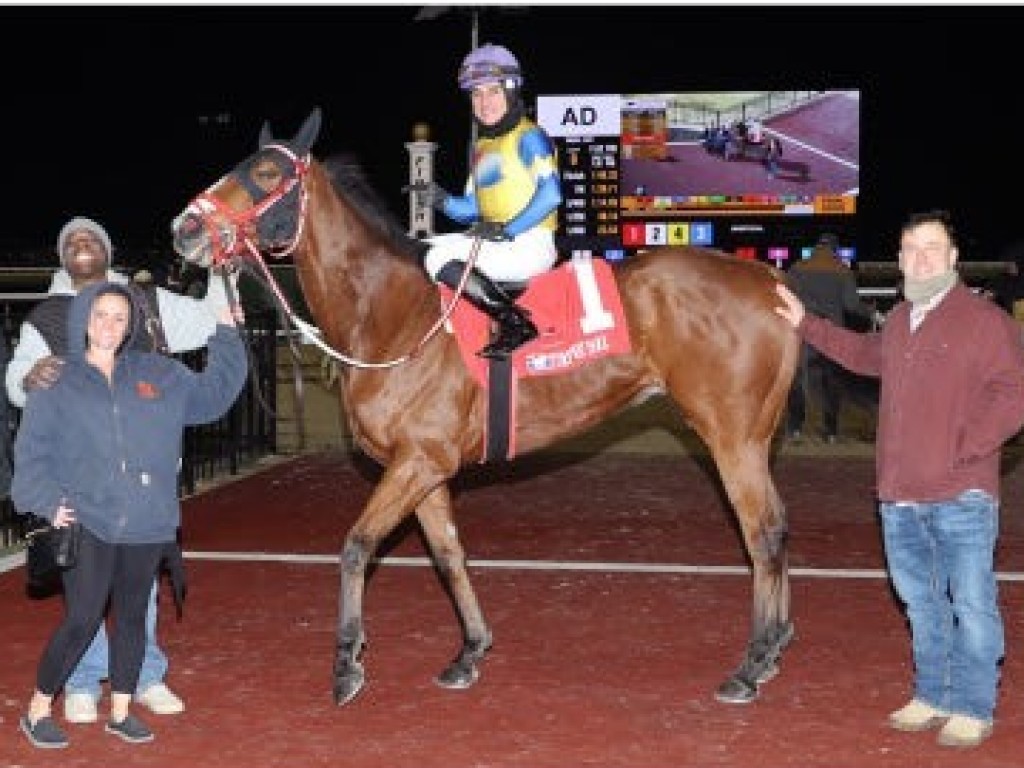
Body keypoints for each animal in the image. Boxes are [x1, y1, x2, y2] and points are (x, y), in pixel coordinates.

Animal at [172, 107, 802, 708]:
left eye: (266, 173)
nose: (186, 226)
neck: (391, 315)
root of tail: (765, 277)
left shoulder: (418, 460)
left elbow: (356, 547)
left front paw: (347, 663)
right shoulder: (424, 467)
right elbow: (449, 553)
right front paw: (470, 650)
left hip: (730, 434)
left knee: (763, 532)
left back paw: (752, 663)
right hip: (751, 437)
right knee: (775, 526)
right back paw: (773, 649)